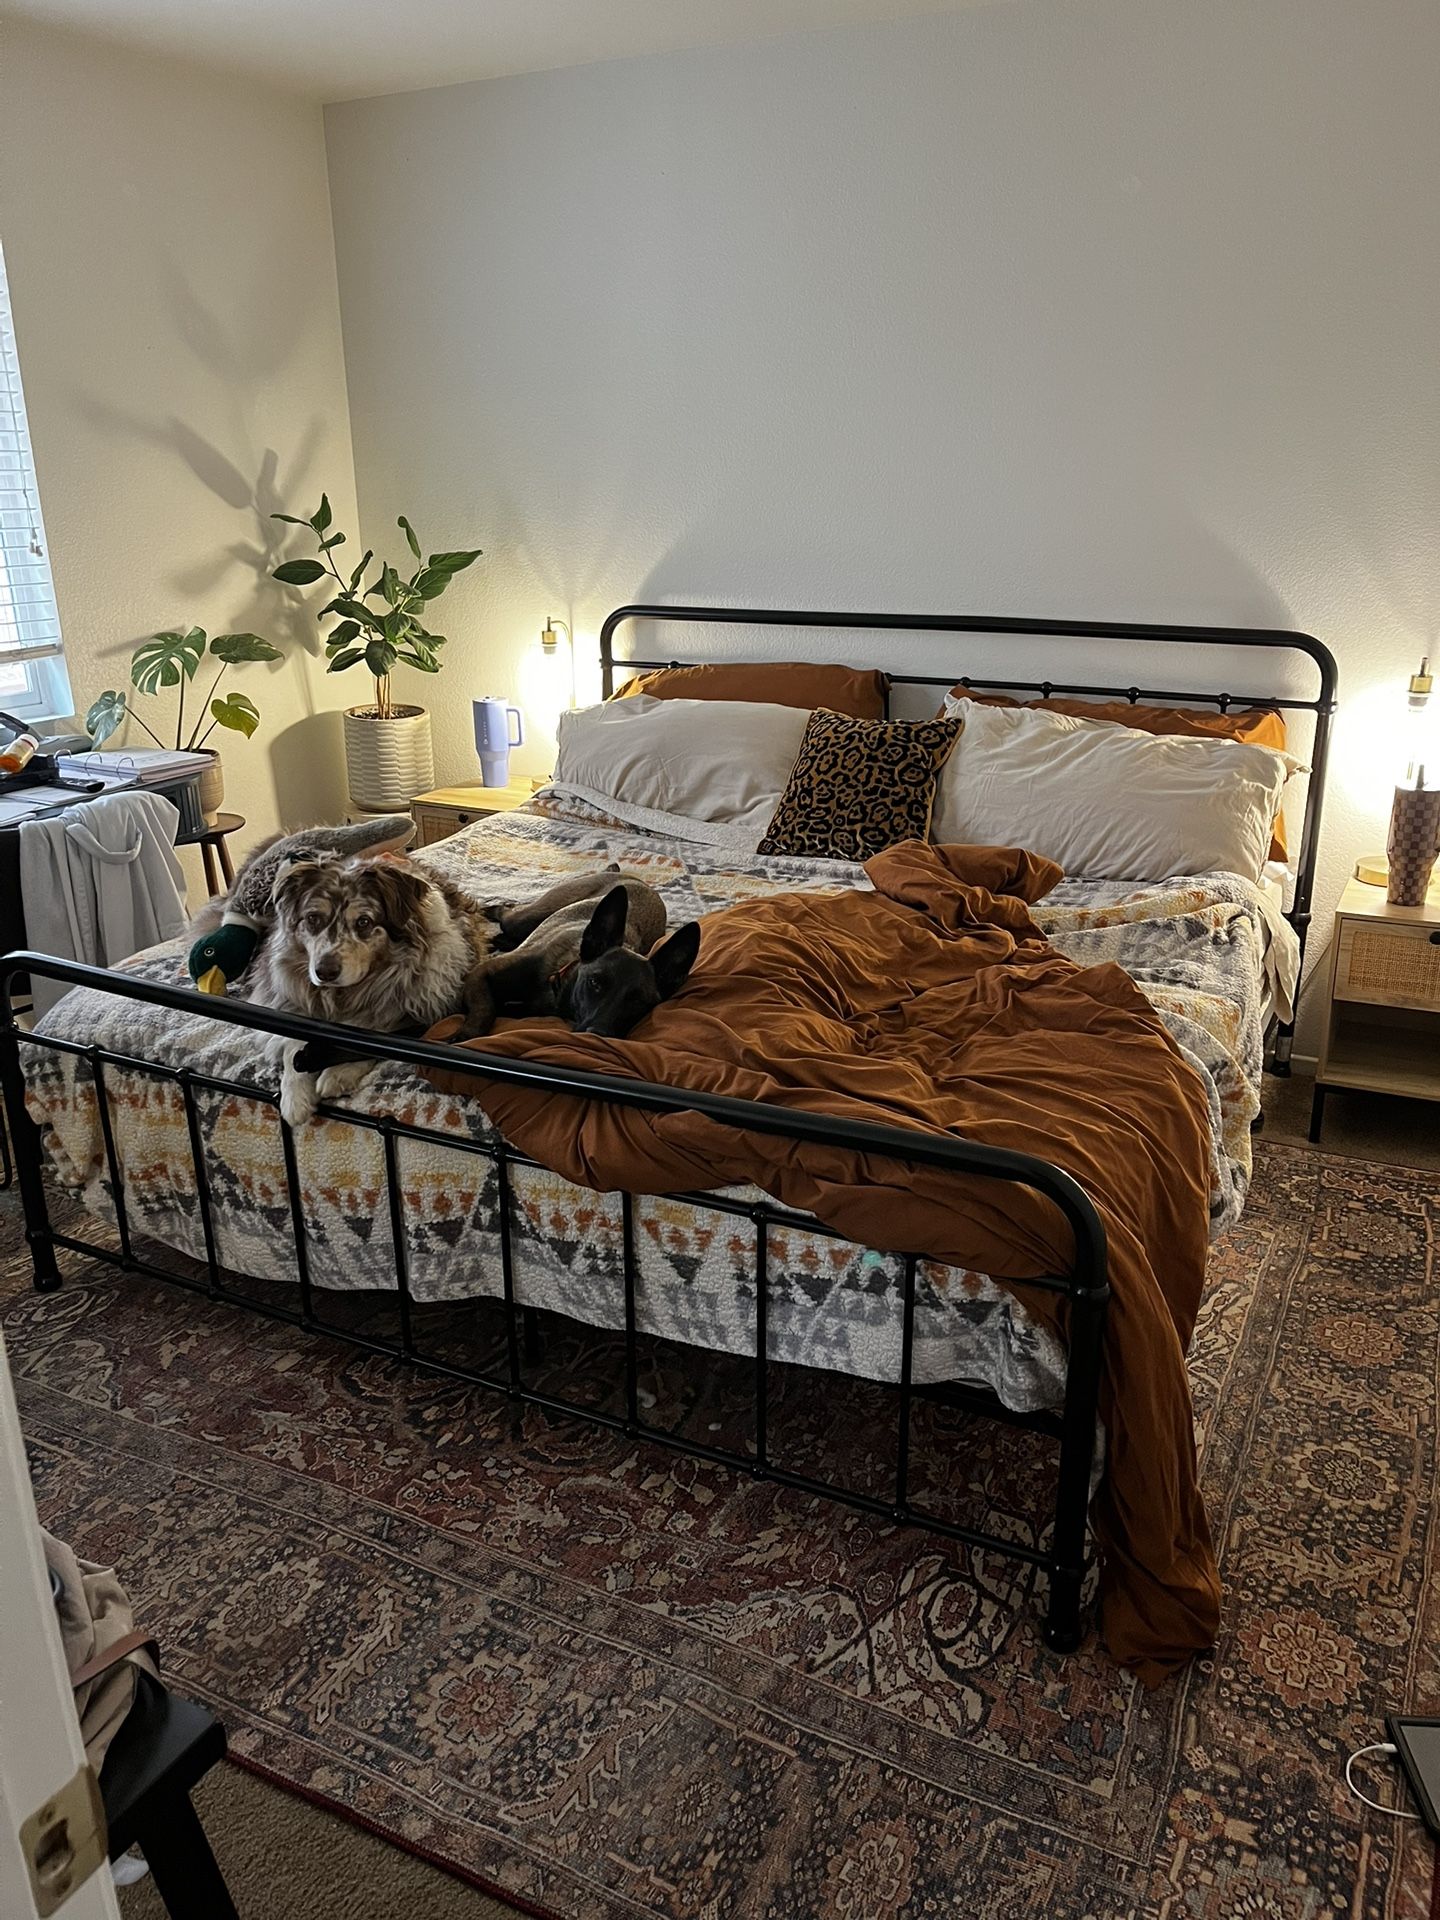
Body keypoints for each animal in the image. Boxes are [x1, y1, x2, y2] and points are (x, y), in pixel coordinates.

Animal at [458, 877, 700, 1040]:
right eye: (594, 982)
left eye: (640, 1002)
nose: (597, 1034)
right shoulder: (480, 974)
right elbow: (485, 1008)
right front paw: (465, 1035)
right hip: (526, 918)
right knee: (506, 910)